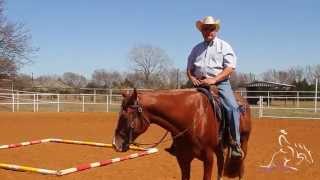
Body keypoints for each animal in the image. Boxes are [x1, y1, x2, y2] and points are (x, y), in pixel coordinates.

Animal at [114, 89, 251, 180]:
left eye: (125, 115)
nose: (116, 143)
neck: (194, 118)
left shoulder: (208, 158)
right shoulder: (183, 159)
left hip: (243, 143)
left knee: (241, 169)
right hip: (219, 148)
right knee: (221, 165)